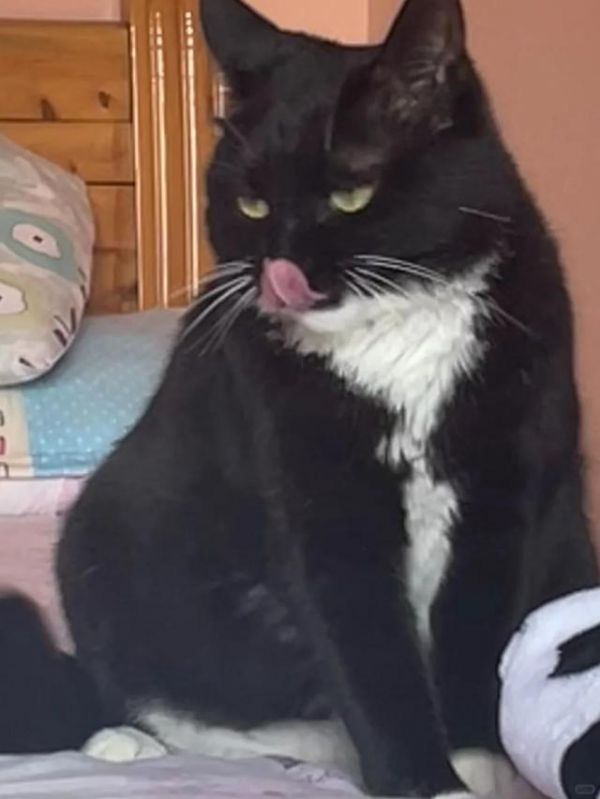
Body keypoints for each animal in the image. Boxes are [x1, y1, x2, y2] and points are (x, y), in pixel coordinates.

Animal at [4, 0, 597, 796]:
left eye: (351, 193)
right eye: (252, 202)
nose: (280, 268)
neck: (394, 336)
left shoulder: (503, 489)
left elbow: (474, 640)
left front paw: (476, 767)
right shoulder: (316, 498)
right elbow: (369, 656)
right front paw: (427, 780)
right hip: (100, 537)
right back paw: (126, 745)